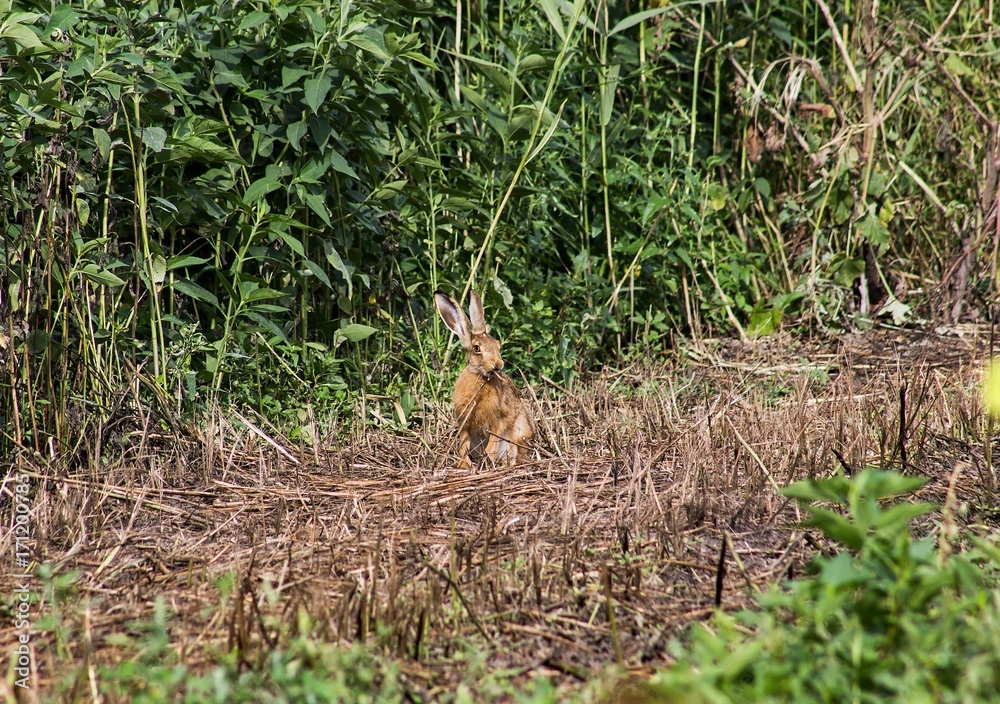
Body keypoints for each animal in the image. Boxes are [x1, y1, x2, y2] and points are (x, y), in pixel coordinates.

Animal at [434, 289, 535, 468]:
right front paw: (464, 466)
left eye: (497, 345)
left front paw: (487, 460)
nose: (497, 365)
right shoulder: (465, 423)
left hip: (518, 435)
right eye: (476, 348)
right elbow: (463, 447)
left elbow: (492, 444)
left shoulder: (498, 420)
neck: (480, 377)